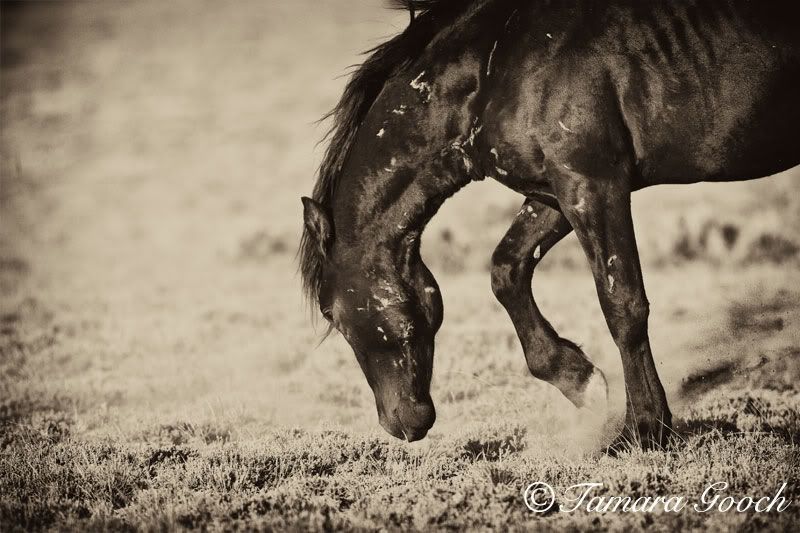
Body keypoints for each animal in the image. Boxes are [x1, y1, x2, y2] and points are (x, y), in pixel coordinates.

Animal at [298, 0, 792, 448]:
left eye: (334, 316)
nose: (401, 425)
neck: (496, 67)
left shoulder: (593, 185)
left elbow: (623, 306)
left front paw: (645, 429)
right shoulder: (552, 193)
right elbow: (506, 271)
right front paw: (582, 382)